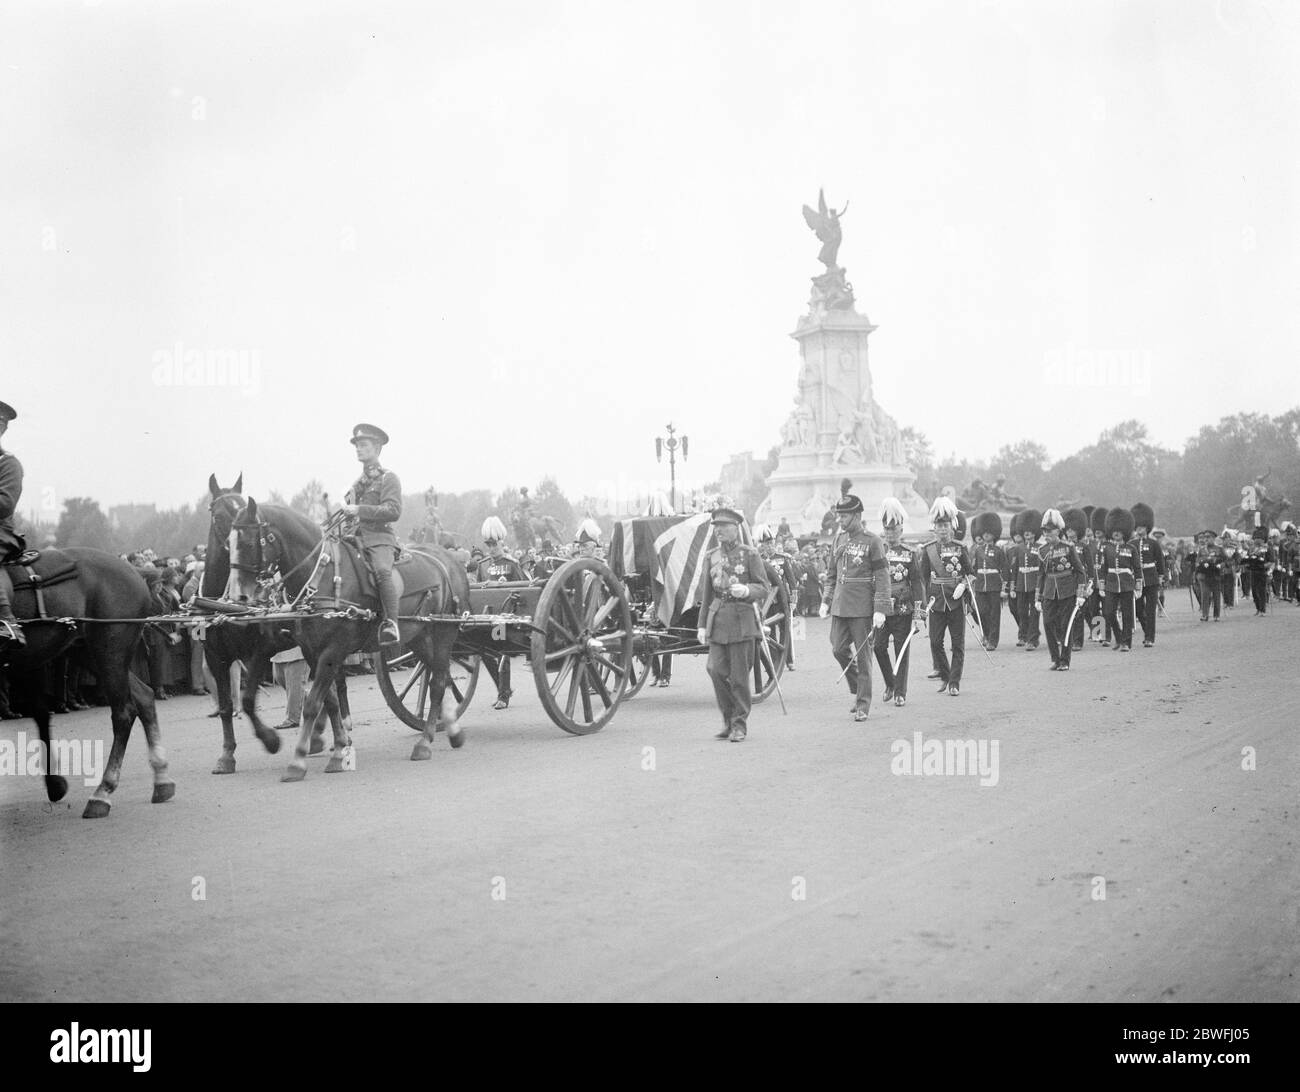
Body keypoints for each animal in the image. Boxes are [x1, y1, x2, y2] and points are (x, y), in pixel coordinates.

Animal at [1, 546, 174, 821]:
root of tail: (134, 571)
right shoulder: (26, 663)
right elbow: (40, 713)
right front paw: (55, 784)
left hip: (109, 650)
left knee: (124, 712)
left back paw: (102, 792)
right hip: (90, 653)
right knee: (144, 697)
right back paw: (161, 779)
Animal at [200, 473, 351, 769]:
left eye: (242, 509)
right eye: (219, 515)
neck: (226, 605)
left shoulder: (260, 650)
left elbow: (247, 700)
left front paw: (270, 740)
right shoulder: (216, 657)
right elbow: (226, 706)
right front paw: (226, 754)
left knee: (333, 685)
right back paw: (320, 735)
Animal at [228, 499, 473, 780]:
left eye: (248, 543)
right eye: (228, 543)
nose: (240, 596)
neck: (321, 577)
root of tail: (452, 562)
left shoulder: (333, 650)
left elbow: (312, 703)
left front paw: (298, 761)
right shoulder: (312, 651)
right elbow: (330, 700)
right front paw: (336, 748)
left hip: (443, 633)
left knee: (438, 683)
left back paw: (425, 742)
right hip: (418, 638)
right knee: (437, 674)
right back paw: (450, 729)